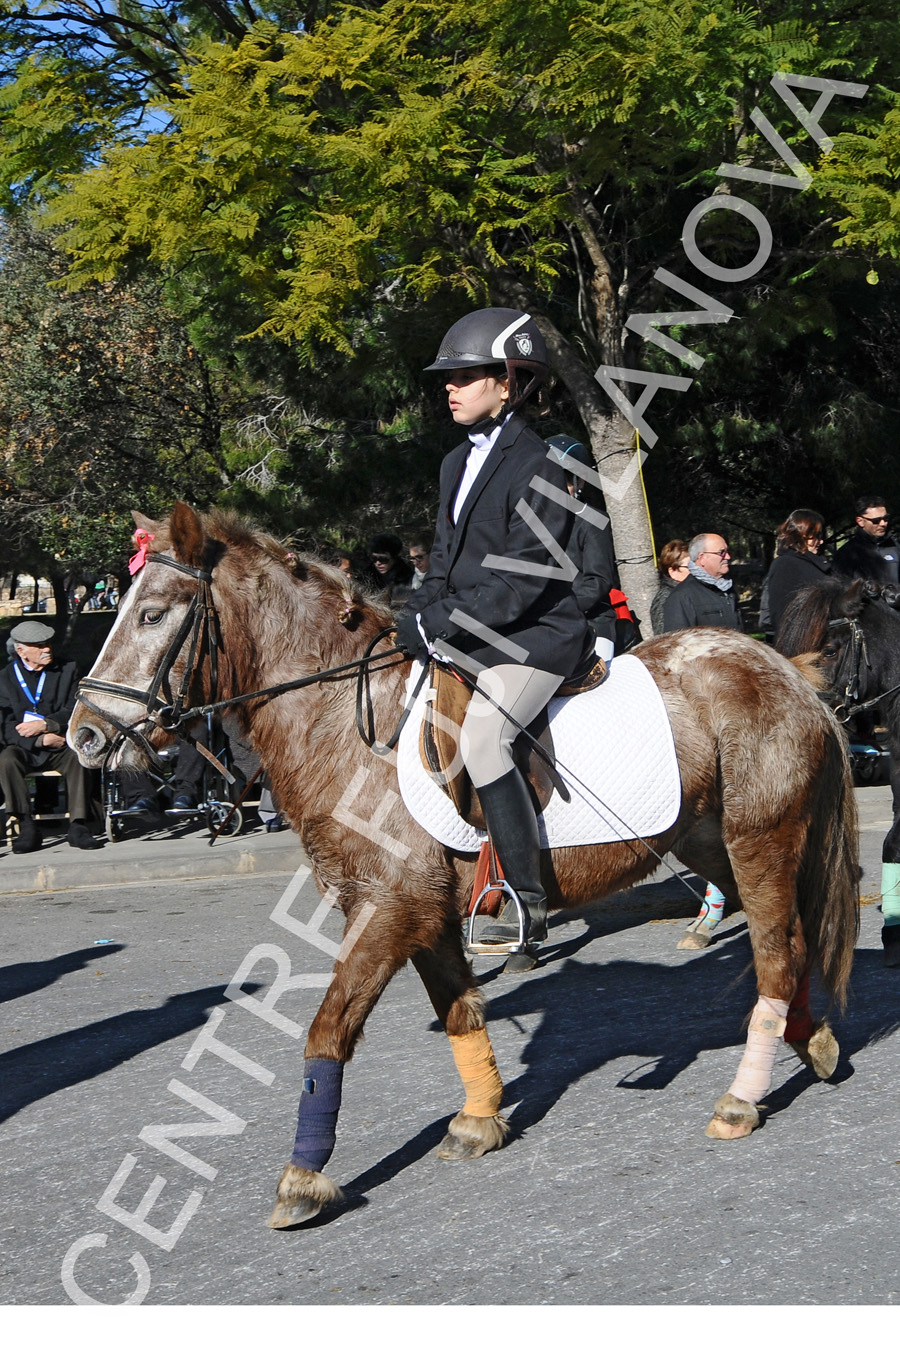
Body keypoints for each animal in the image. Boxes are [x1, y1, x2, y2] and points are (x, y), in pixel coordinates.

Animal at [68, 504, 858, 1225]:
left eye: (152, 615)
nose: (84, 737)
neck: (346, 723)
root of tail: (782, 667)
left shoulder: (386, 908)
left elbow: (328, 1028)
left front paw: (301, 1178)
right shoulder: (426, 915)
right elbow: (459, 1012)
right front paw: (480, 1121)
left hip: (761, 840)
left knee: (777, 953)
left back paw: (742, 1099)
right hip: (706, 840)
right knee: (786, 943)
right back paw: (812, 1043)